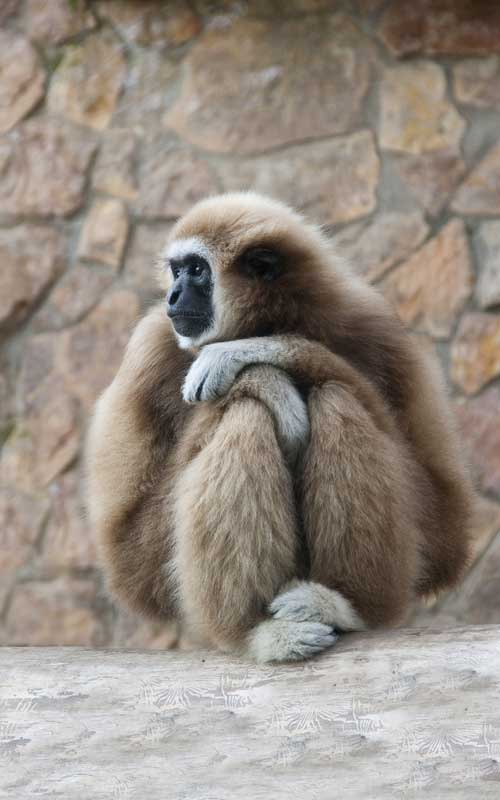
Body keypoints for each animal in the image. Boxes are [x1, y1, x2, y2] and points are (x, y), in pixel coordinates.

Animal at [86, 192, 474, 663]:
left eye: (196, 270)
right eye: (177, 270)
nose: (174, 294)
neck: (264, 319)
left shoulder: (376, 329)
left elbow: (445, 528)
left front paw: (250, 351)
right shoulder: (149, 349)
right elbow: (129, 556)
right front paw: (265, 379)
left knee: (337, 397)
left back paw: (344, 606)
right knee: (245, 413)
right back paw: (256, 633)